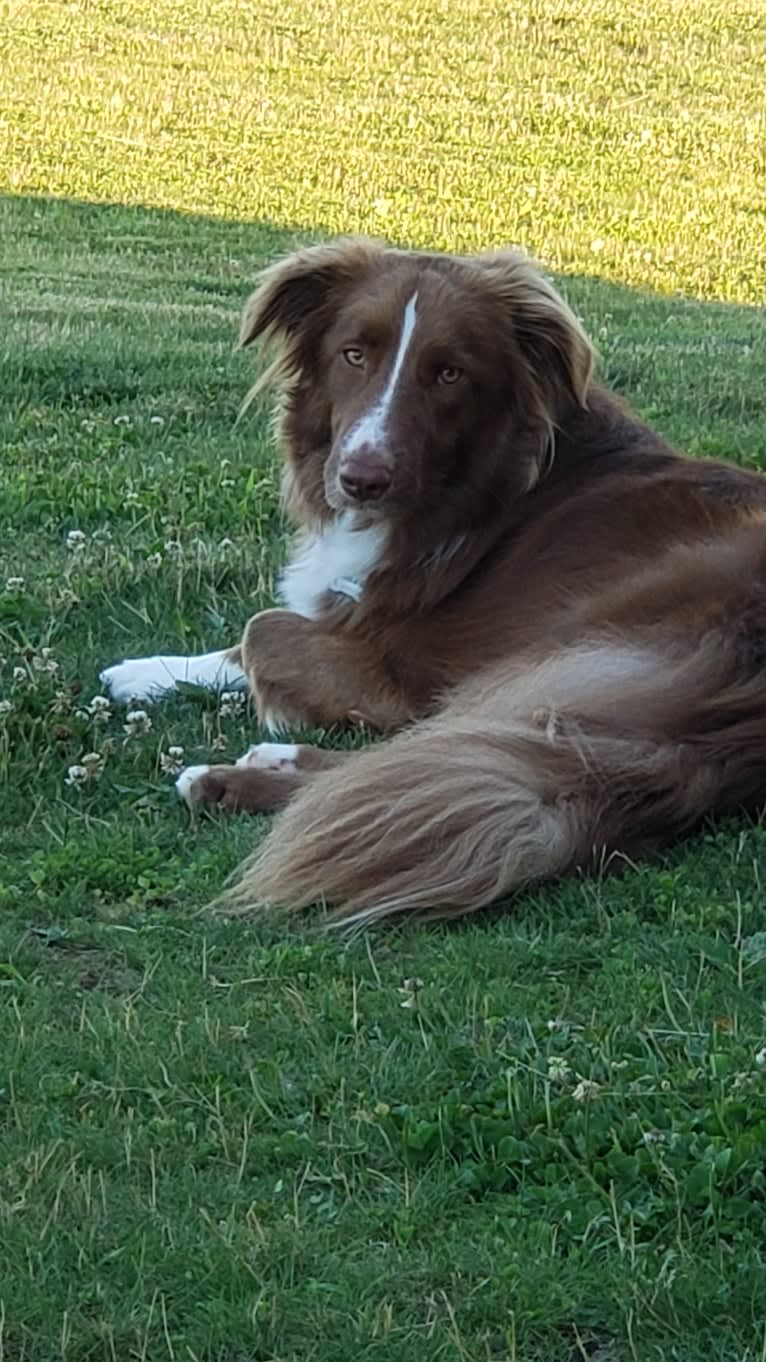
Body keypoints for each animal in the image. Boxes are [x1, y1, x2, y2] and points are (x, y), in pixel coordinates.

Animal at [101, 239, 766, 931]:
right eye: (354, 353)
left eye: (450, 374)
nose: (361, 480)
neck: (485, 485)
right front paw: (146, 672)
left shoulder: (406, 674)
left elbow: (264, 631)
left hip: (566, 652)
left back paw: (226, 778)